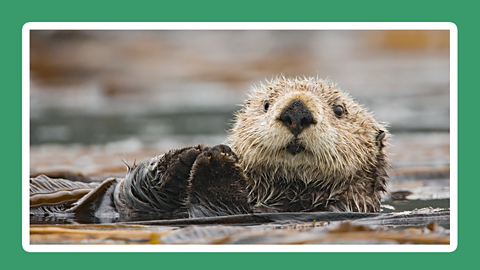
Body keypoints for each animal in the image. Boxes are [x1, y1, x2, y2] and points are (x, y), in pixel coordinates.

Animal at [30, 75, 388, 219]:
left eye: (339, 109)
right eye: (266, 104)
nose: (296, 111)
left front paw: (217, 163)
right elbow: (127, 191)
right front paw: (182, 157)